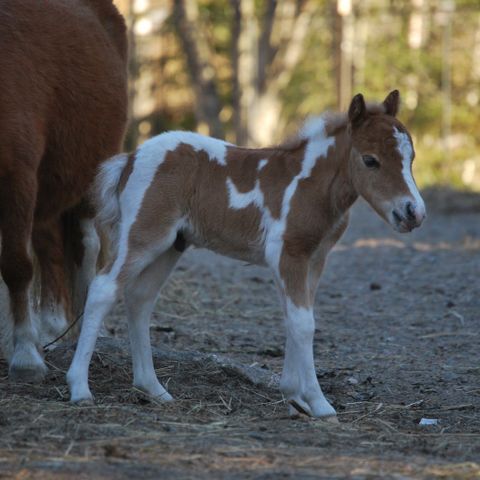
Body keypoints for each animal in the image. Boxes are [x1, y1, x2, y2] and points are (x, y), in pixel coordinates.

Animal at [0, 0, 127, 382]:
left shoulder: (17, 178)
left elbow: (16, 265)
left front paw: (25, 356)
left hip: (86, 181)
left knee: (86, 246)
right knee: (49, 248)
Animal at [66, 92, 424, 418]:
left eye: (411, 158)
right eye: (370, 160)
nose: (413, 213)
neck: (309, 185)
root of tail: (130, 158)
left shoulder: (314, 259)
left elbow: (295, 319)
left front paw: (294, 398)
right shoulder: (288, 255)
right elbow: (304, 324)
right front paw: (319, 403)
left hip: (171, 246)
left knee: (140, 299)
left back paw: (153, 389)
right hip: (144, 235)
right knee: (104, 289)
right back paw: (80, 388)